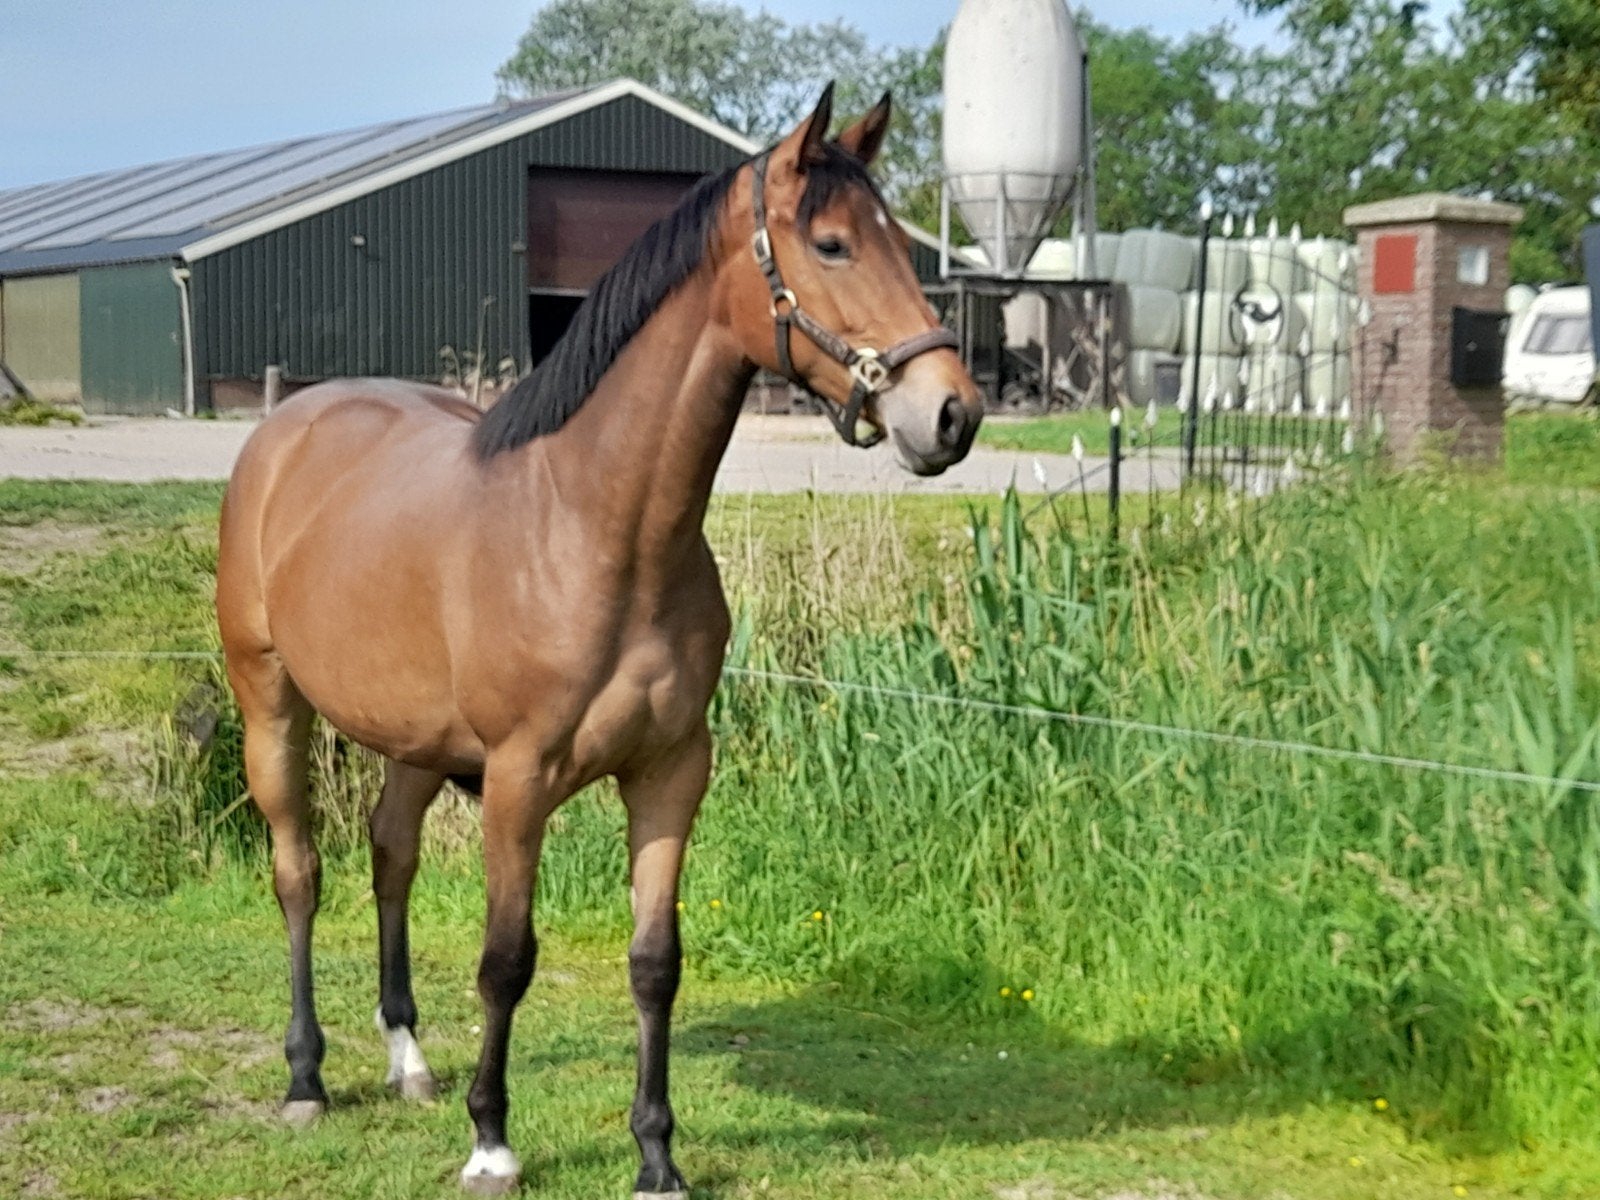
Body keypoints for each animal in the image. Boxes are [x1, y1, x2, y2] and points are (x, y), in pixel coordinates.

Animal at [215, 84, 980, 1196]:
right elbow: (506, 960)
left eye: (899, 241)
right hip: (269, 703)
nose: (953, 415)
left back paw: (407, 1061)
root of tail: (287, 425)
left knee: (391, 859)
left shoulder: (670, 772)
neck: (591, 527)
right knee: (299, 874)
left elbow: (655, 962)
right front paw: (493, 1142)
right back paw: (307, 1077)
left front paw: (656, 1153)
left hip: (412, 743)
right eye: (833, 244)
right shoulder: (519, 780)